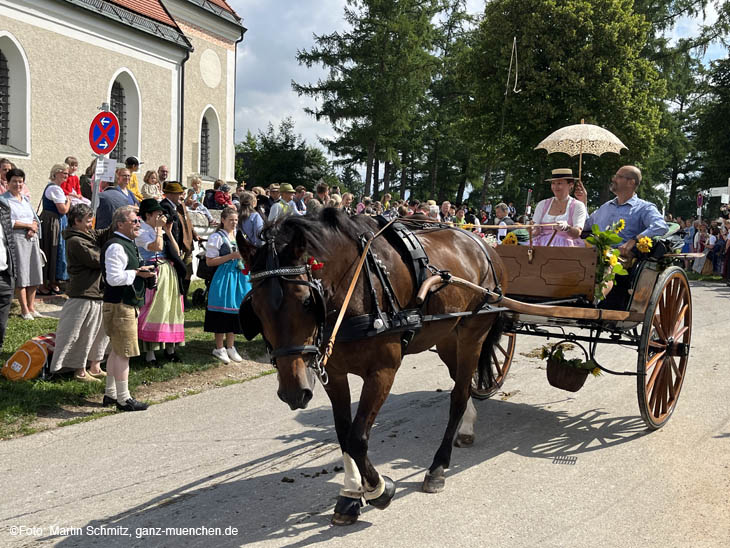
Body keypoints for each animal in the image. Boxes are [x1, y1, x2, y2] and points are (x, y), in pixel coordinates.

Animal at [236, 208, 504, 524]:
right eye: (255, 308)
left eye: (306, 302)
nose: (293, 392)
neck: (358, 289)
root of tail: (482, 242)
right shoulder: (334, 374)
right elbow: (343, 433)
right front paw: (351, 494)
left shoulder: (382, 371)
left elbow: (357, 437)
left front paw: (379, 489)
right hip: (449, 337)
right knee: (461, 382)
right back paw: (466, 428)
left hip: (473, 334)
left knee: (459, 395)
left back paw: (438, 467)